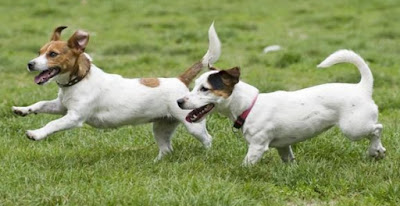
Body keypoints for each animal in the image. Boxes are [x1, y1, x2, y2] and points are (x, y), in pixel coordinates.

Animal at [177, 50, 384, 166]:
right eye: (194, 85)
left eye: (205, 89)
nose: (179, 101)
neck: (249, 106)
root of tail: (362, 87)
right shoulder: (284, 146)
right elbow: (289, 161)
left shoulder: (257, 147)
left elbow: (245, 164)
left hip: (354, 128)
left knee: (377, 129)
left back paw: (375, 150)